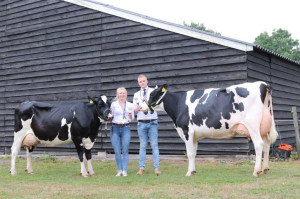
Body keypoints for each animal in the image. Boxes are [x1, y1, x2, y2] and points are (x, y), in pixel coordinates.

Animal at [145, 81, 278, 177]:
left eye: (151, 94)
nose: (143, 107)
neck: (179, 104)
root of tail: (263, 84)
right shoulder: (194, 136)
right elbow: (194, 153)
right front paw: (193, 171)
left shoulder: (187, 131)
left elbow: (189, 153)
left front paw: (188, 172)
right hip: (263, 127)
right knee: (267, 144)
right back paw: (265, 169)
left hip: (253, 125)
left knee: (259, 144)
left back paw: (256, 171)